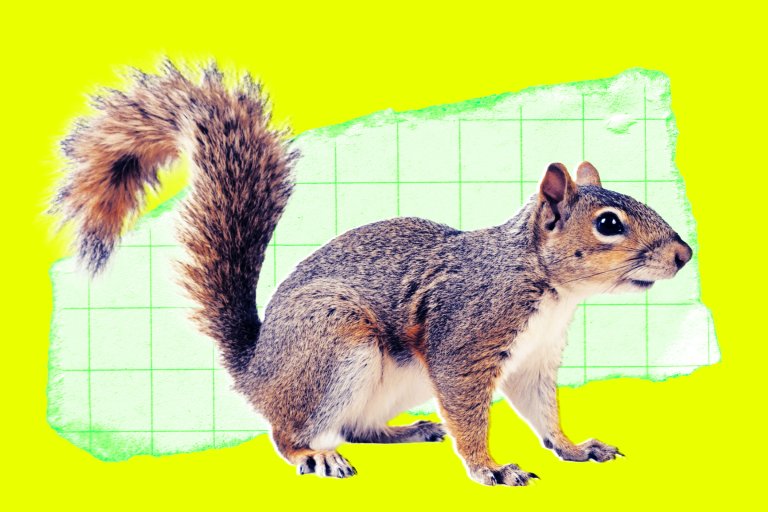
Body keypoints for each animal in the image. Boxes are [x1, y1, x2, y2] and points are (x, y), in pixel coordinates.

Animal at [51, 61, 693, 486]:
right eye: (608, 223)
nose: (684, 255)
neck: (549, 287)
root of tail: (257, 370)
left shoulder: (533, 358)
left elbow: (542, 411)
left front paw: (575, 447)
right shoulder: (466, 337)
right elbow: (469, 413)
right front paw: (491, 468)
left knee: (358, 426)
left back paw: (408, 431)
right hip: (336, 347)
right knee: (290, 433)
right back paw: (316, 456)